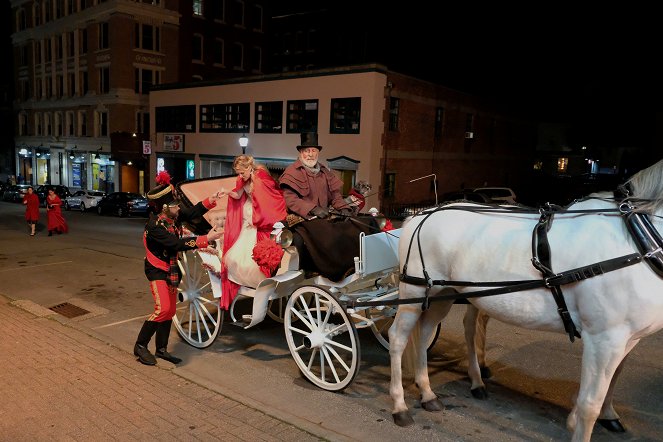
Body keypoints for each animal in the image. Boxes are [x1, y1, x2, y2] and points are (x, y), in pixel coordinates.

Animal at [386, 157, 663, 440]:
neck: (637, 238)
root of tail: (420, 215)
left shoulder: (627, 338)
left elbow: (610, 383)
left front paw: (581, 418)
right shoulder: (605, 338)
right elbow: (590, 405)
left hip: (444, 294)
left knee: (426, 333)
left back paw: (428, 393)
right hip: (414, 293)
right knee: (398, 337)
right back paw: (399, 405)